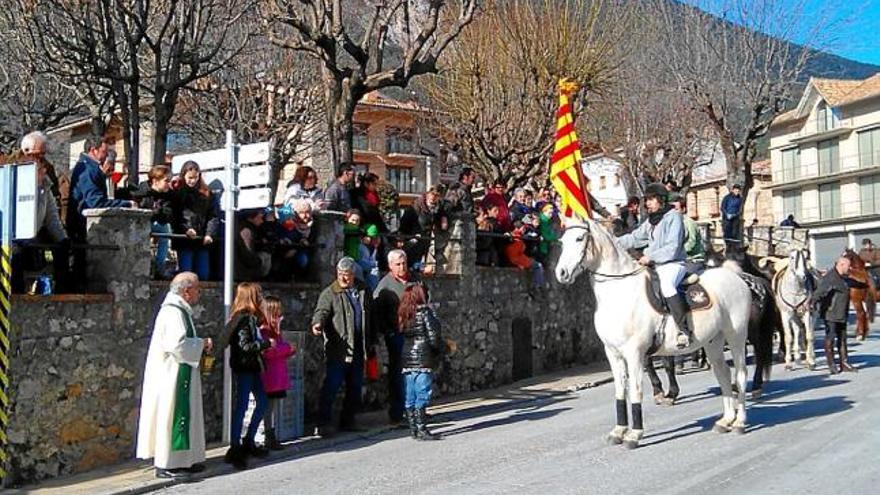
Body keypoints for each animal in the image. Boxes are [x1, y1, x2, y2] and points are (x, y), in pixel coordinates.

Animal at [556, 219, 748, 448]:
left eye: (579, 238)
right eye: (561, 241)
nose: (561, 273)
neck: (618, 293)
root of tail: (735, 277)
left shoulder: (634, 352)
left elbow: (636, 389)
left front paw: (634, 434)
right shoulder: (612, 352)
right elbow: (620, 390)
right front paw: (618, 431)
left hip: (736, 336)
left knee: (740, 375)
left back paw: (739, 422)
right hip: (713, 342)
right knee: (723, 374)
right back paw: (726, 420)